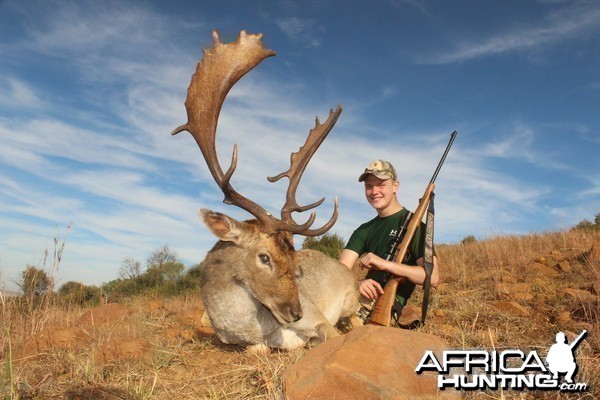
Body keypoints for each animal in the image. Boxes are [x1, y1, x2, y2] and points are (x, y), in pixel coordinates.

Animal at [173, 29, 360, 352]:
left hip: (352, 298)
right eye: (264, 257)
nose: (296, 312)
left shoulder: (320, 320)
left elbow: (329, 334)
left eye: (295, 261)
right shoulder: (249, 344)